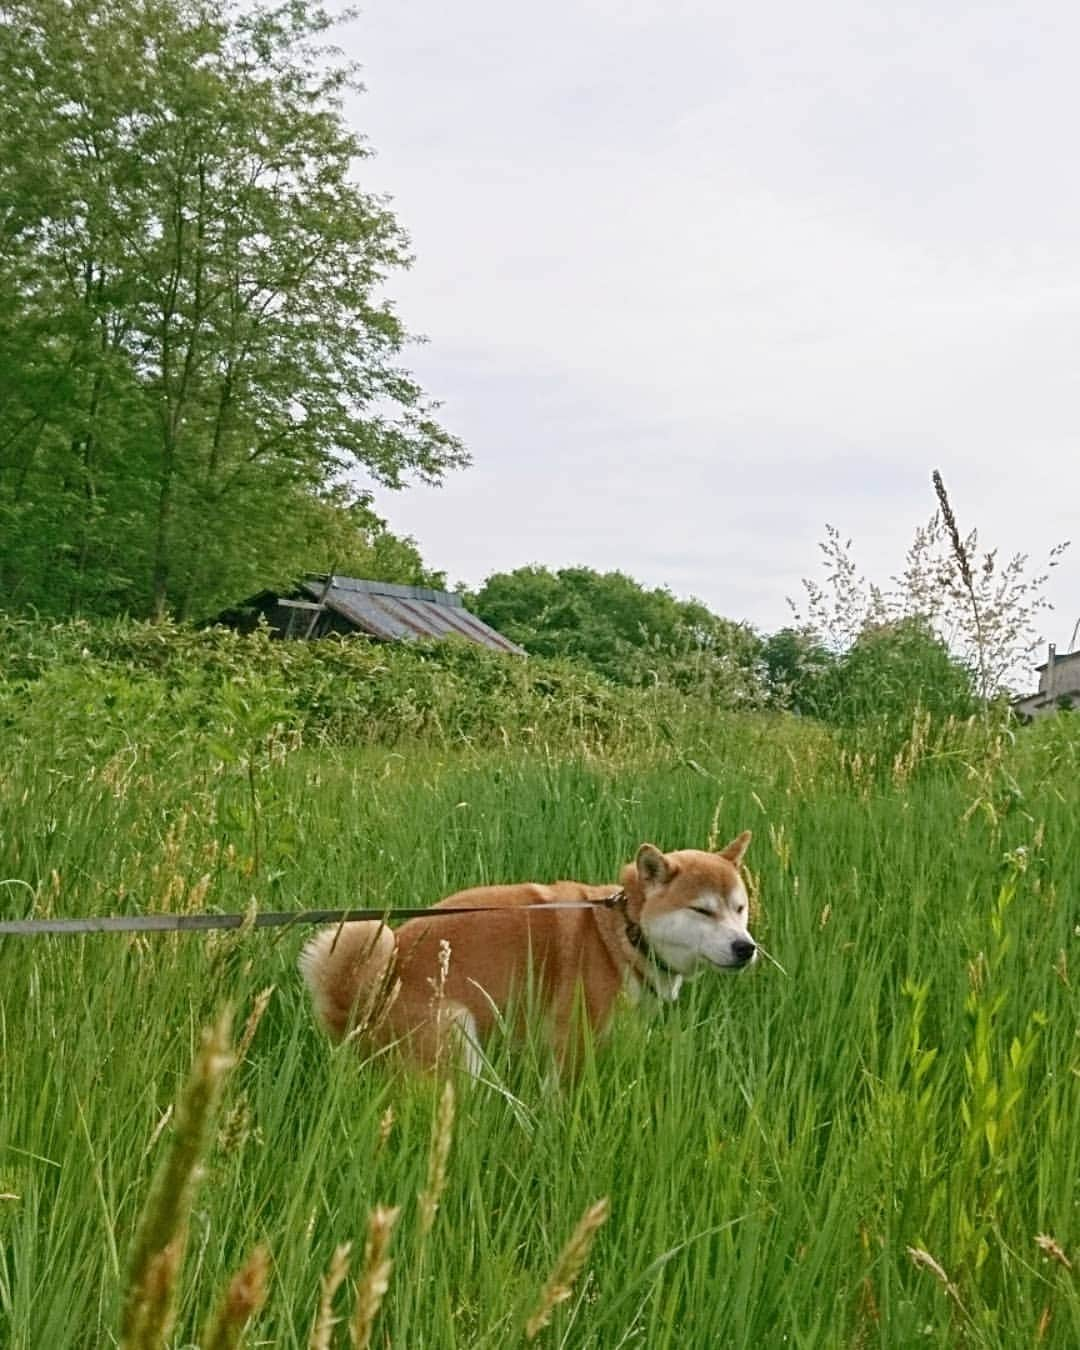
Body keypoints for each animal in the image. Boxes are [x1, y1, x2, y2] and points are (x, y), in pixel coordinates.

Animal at [299, 831, 756, 1074]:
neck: (624, 932)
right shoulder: (571, 1041)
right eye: (702, 910)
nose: (746, 947)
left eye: (739, 908)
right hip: (455, 1032)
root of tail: (361, 1008)